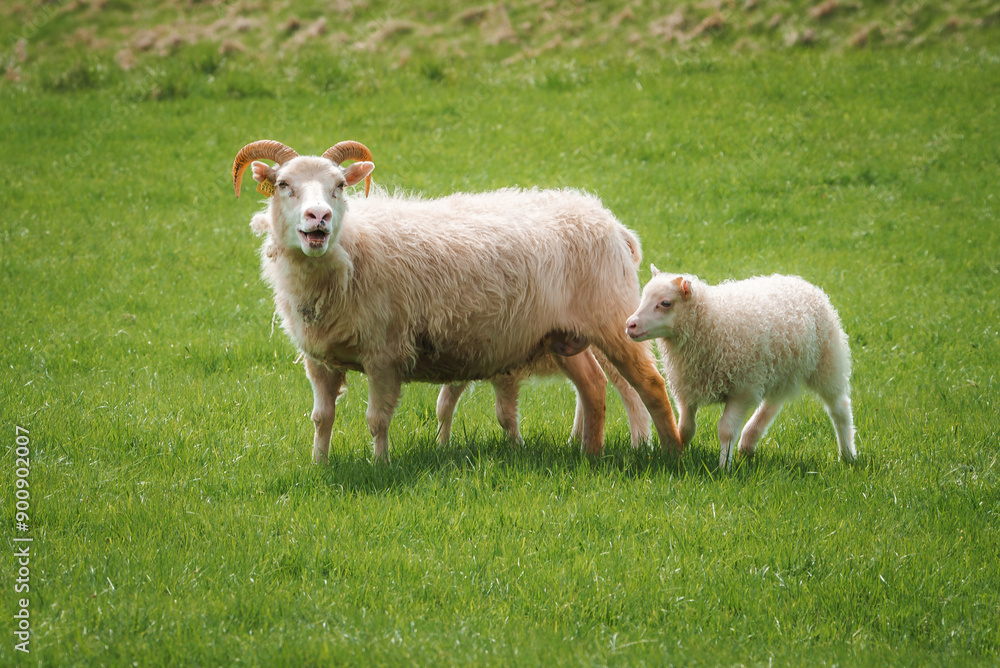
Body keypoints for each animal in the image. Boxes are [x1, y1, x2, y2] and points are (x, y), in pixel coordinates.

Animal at [435, 346, 653, 448]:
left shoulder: (506, 376)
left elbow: (504, 416)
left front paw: (518, 446)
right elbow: (443, 405)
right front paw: (442, 444)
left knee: (631, 390)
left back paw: (640, 442)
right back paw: (575, 439)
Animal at [625, 268, 855, 468]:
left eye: (665, 303)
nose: (630, 325)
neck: (710, 321)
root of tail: (801, 282)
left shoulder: (742, 390)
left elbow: (726, 430)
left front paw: (723, 468)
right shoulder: (687, 385)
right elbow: (686, 428)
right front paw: (681, 453)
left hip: (827, 363)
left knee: (839, 408)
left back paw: (847, 455)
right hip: (780, 371)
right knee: (773, 404)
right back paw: (748, 443)